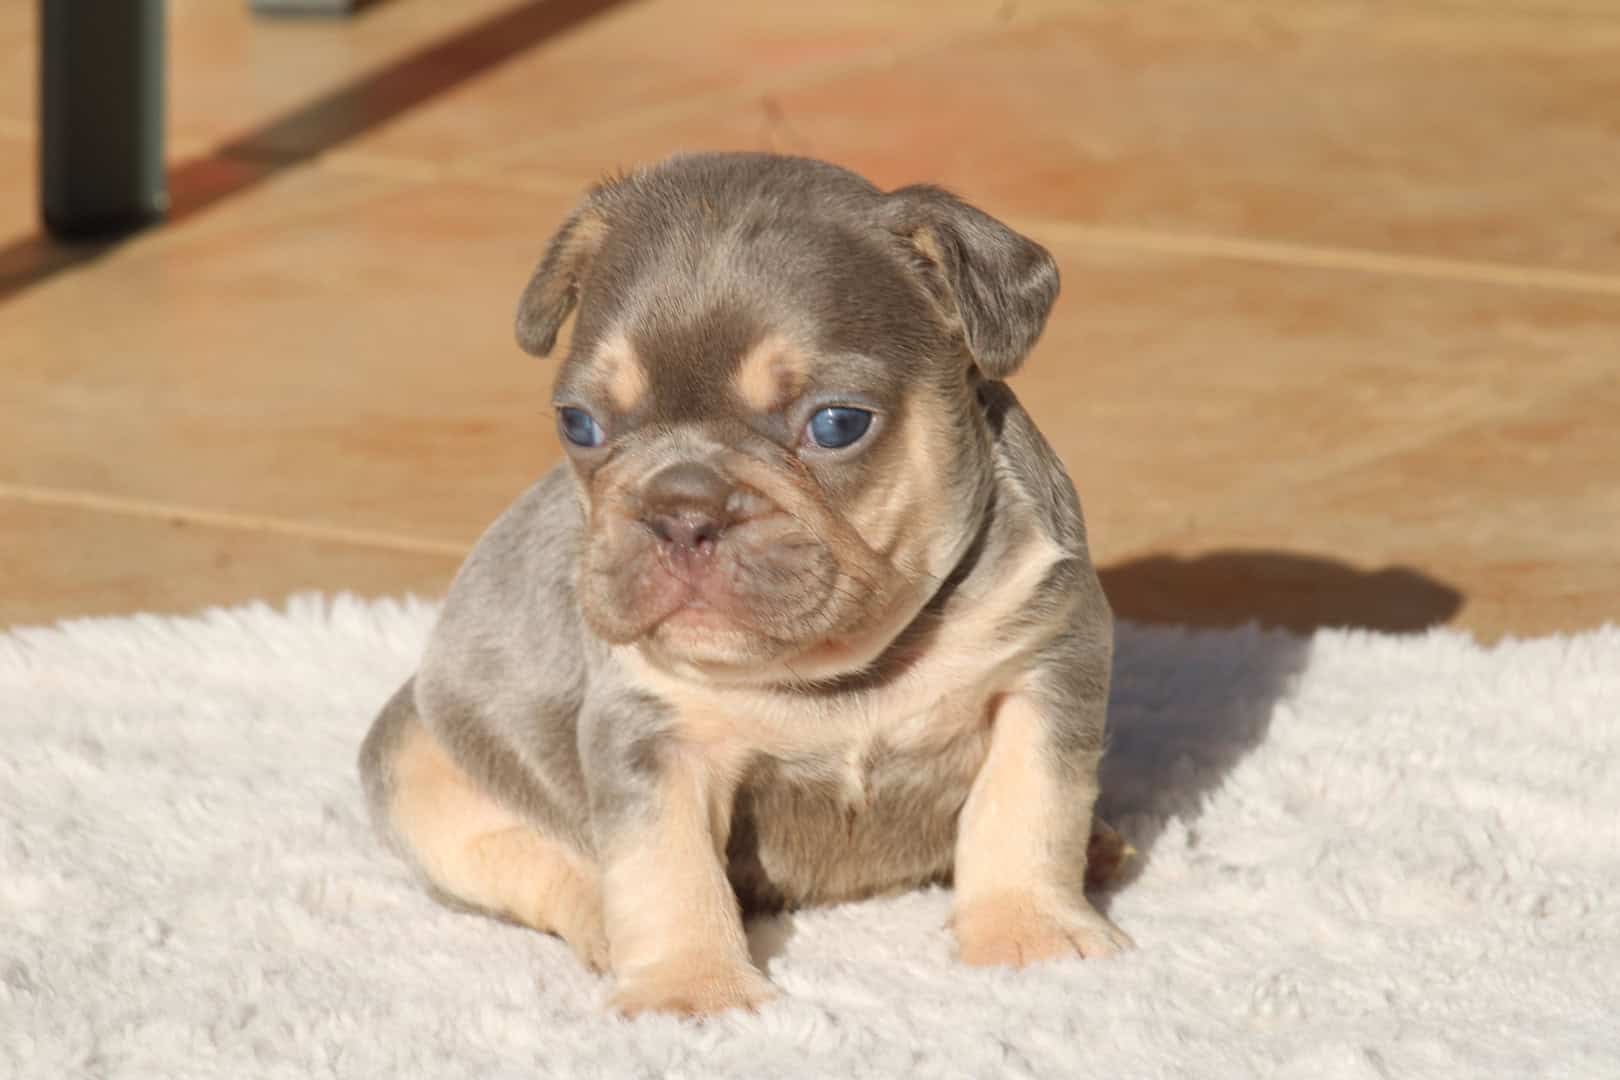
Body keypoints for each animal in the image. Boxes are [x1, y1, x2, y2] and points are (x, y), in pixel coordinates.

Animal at [361, 149, 1134, 1016]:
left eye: (837, 423)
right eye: (578, 424)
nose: (680, 511)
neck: (846, 666)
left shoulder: (1043, 672)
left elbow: (1027, 809)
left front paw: (1030, 936)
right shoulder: (650, 735)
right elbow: (664, 868)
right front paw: (690, 991)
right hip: (418, 765)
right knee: (541, 861)